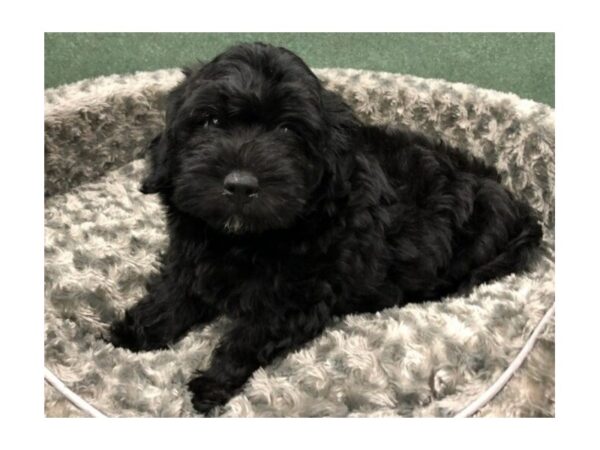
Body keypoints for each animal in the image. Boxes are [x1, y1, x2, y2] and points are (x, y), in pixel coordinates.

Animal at [108, 43, 544, 414]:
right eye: (209, 121)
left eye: (288, 130)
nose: (241, 184)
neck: (243, 238)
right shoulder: (192, 255)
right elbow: (173, 292)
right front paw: (129, 334)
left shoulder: (300, 295)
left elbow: (250, 335)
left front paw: (211, 385)